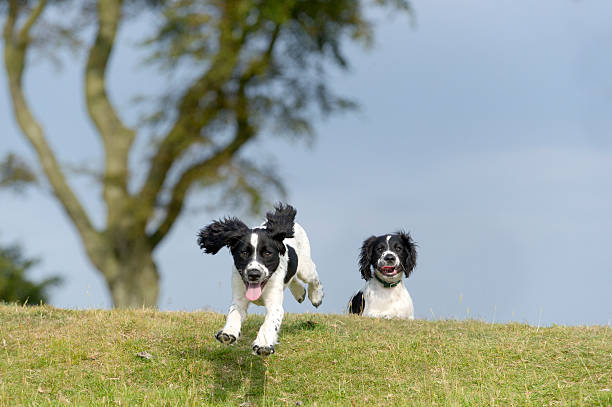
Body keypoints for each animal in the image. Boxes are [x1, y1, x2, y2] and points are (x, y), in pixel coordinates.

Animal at [200, 204, 326, 356]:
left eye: (267, 253)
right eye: (244, 252)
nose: (254, 274)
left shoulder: (275, 304)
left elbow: (270, 322)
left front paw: (263, 344)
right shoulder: (239, 298)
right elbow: (234, 313)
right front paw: (228, 332)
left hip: (305, 267)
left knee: (312, 275)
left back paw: (316, 296)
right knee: (293, 278)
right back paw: (300, 293)